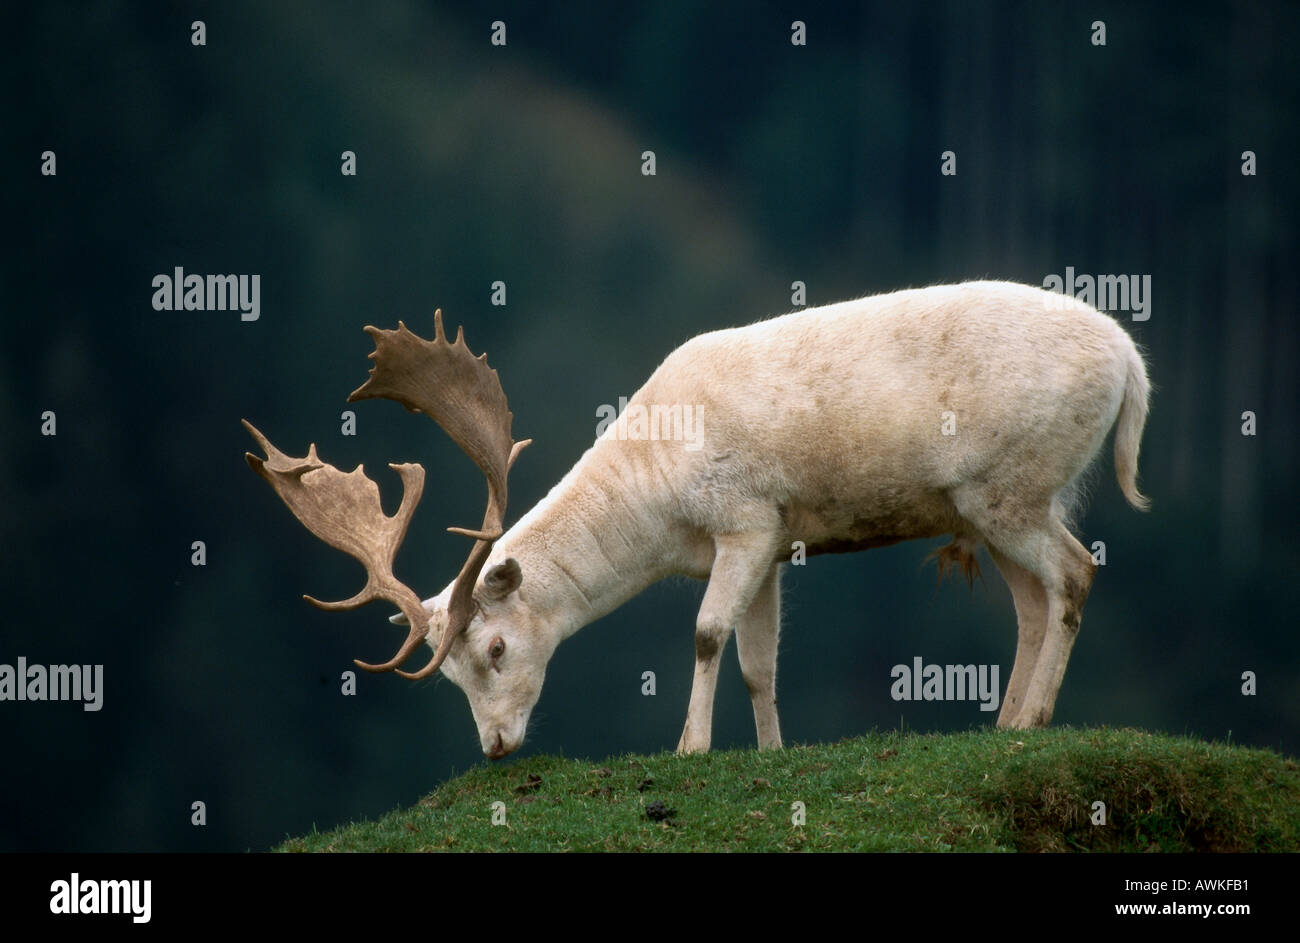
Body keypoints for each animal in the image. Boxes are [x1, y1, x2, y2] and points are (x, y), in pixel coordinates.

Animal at [244, 279, 1149, 759]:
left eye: (496, 648)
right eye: (454, 676)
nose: (496, 746)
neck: (662, 506)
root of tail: (1132, 365)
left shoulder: (745, 517)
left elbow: (709, 634)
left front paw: (689, 747)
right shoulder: (775, 540)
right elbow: (760, 662)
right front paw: (771, 753)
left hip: (1014, 486)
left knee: (1077, 571)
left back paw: (1035, 716)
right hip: (995, 504)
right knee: (1032, 601)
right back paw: (1009, 726)